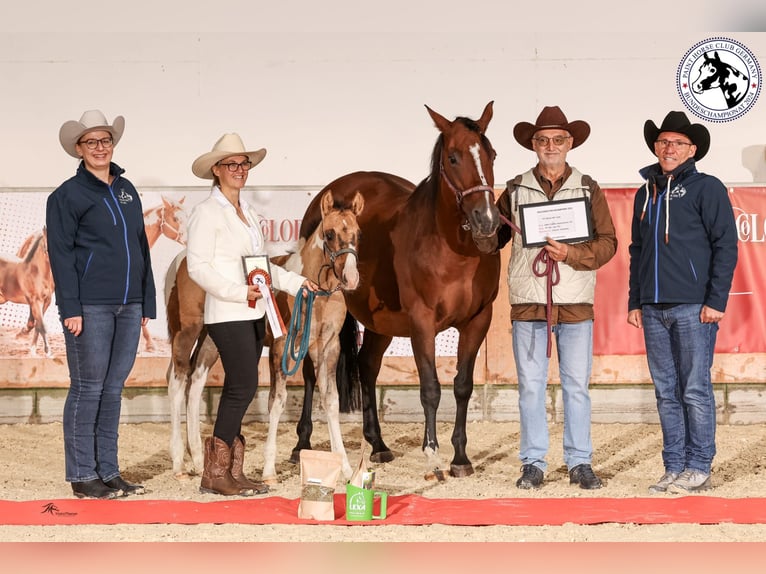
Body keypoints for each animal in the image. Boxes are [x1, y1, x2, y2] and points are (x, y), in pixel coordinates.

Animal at [166, 190, 364, 482]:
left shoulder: (328, 348)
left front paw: (348, 468)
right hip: (186, 332)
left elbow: (331, 401)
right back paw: (179, 463)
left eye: (357, 233)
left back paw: (200, 461)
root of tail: (181, 260)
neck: (316, 292)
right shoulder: (282, 348)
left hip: (212, 338)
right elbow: (277, 402)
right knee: (177, 383)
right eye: (329, 234)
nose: (351, 278)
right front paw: (269, 469)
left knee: (196, 381)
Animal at [300, 102, 504, 476]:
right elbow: (430, 388)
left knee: (367, 366)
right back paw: (300, 445)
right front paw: (432, 454)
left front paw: (460, 457)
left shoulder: (478, 320)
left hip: (380, 323)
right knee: (309, 371)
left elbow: (463, 386)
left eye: (491, 154)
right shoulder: (422, 323)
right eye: (453, 157)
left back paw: (378, 444)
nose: (487, 221)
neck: (452, 249)